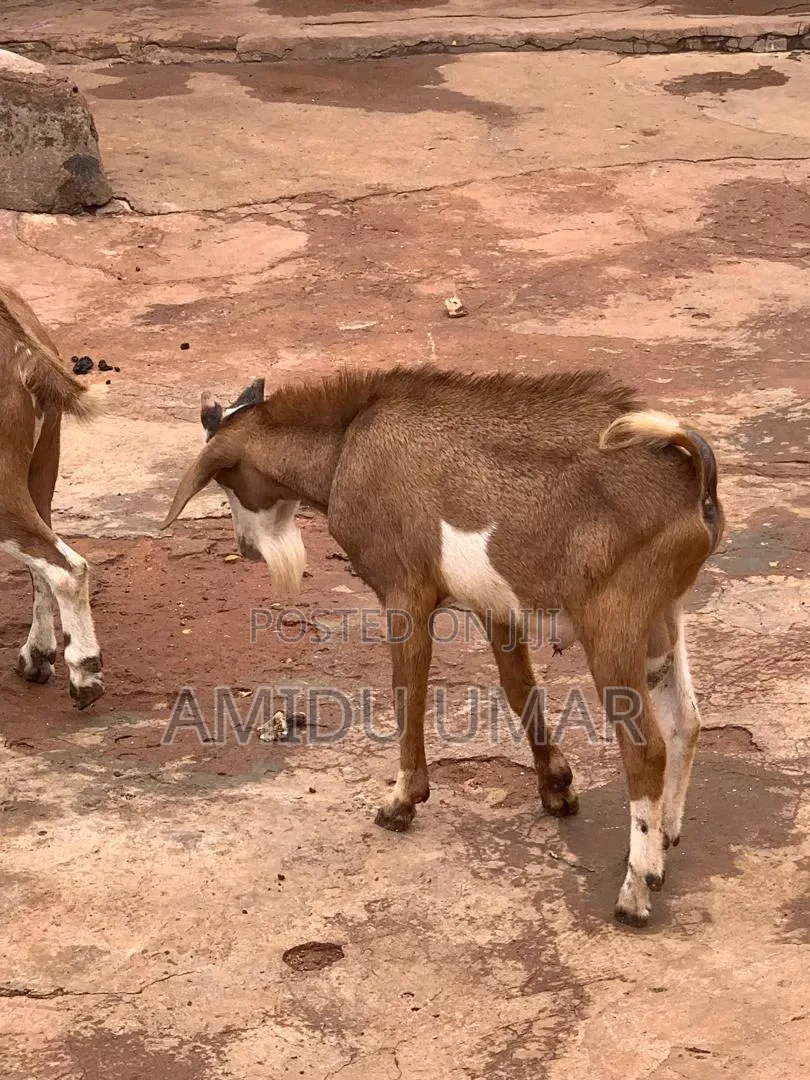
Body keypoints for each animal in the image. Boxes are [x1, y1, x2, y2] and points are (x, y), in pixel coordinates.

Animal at [164, 365, 723, 926]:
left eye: (227, 479)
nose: (244, 547)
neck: (347, 441)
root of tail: (693, 480)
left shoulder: (404, 593)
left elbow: (407, 692)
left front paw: (401, 801)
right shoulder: (495, 607)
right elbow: (520, 690)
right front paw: (556, 786)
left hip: (613, 623)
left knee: (646, 747)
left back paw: (638, 885)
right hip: (661, 619)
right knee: (686, 720)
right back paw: (667, 838)